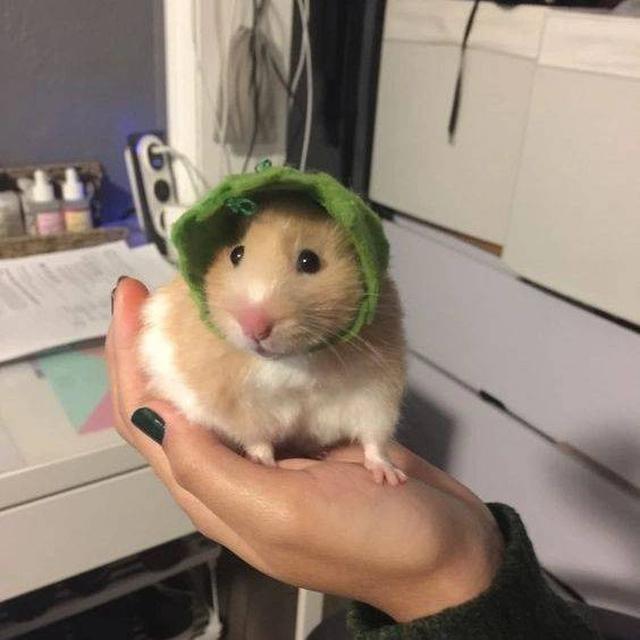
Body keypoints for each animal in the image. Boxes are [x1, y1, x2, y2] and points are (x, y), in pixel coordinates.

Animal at [139, 192, 407, 484]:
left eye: (309, 260)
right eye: (236, 253)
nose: (254, 327)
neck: (294, 361)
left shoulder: (376, 392)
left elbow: (374, 439)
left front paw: (390, 477)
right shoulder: (239, 403)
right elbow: (256, 436)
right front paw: (261, 462)